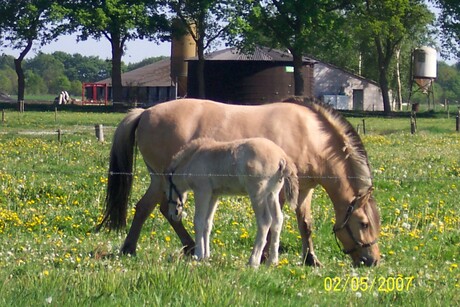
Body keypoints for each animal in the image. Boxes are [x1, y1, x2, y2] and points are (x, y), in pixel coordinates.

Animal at [164, 138, 298, 268]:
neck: (195, 157)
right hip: (272, 194)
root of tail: (281, 156)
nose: (173, 214)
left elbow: (198, 222)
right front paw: (206, 256)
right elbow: (207, 223)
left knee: (265, 221)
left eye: (166, 191)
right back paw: (273, 261)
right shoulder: (214, 195)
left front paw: (198, 255)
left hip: (258, 194)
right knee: (277, 220)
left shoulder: (202, 191)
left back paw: (253, 262)